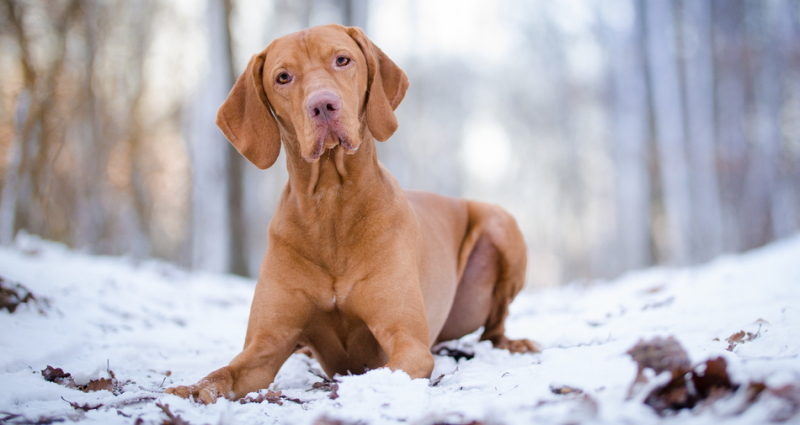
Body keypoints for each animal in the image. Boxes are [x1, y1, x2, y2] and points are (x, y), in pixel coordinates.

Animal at [164, 24, 536, 402]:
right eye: (283, 77)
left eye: (342, 60)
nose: (322, 105)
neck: (331, 203)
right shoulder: (265, 345)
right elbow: (222, 373)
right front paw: (189, 391)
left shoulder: (407, 341)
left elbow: (386, 370)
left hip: (500, 224)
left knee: (494, 329)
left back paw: (515, 344)